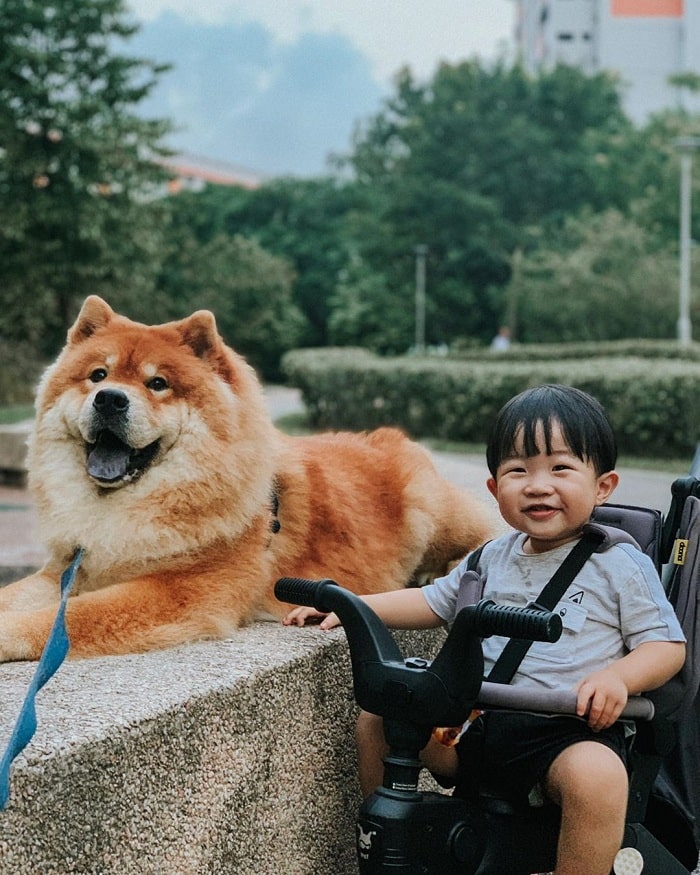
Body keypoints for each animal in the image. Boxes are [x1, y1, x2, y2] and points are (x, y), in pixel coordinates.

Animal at [0, 298, 492, 660]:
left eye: (157, 384)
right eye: (97, 375)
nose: (109, 399)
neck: (121, 509)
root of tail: (392, 439)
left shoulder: (180, 590)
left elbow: (64, 619)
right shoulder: (67, 571)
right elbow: (17, 596)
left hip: (428, 507)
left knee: (482, 537)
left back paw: (442, 570)